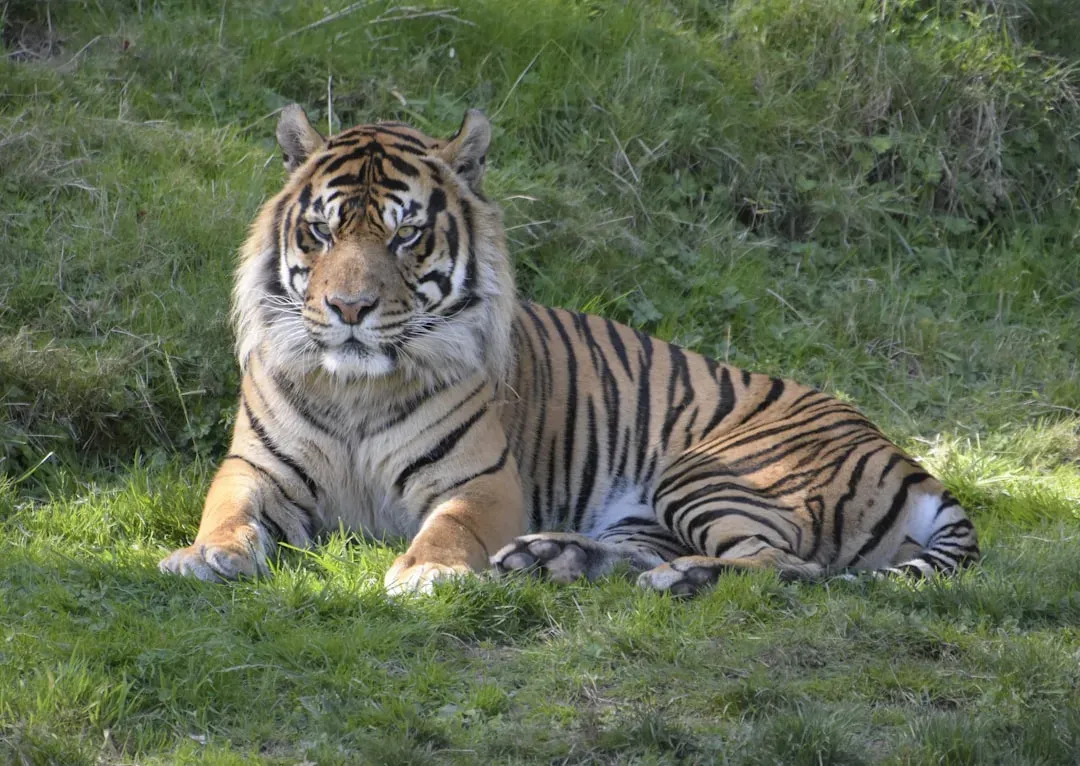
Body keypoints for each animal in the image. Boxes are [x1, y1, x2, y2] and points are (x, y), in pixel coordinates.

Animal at [159, 104, 979, 596]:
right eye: (322, 231)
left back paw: (682, 579)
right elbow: (224, 512)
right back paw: (549, 557)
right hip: (647, 510)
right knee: (652, 554)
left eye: (406, 235)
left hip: (714, 473)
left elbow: (451, 527)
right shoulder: (255, 469)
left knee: (783, 564)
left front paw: (427, 575)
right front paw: (202, 556)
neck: (355, 387)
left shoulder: (483, 479)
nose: (349, 308)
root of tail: (900, 453)